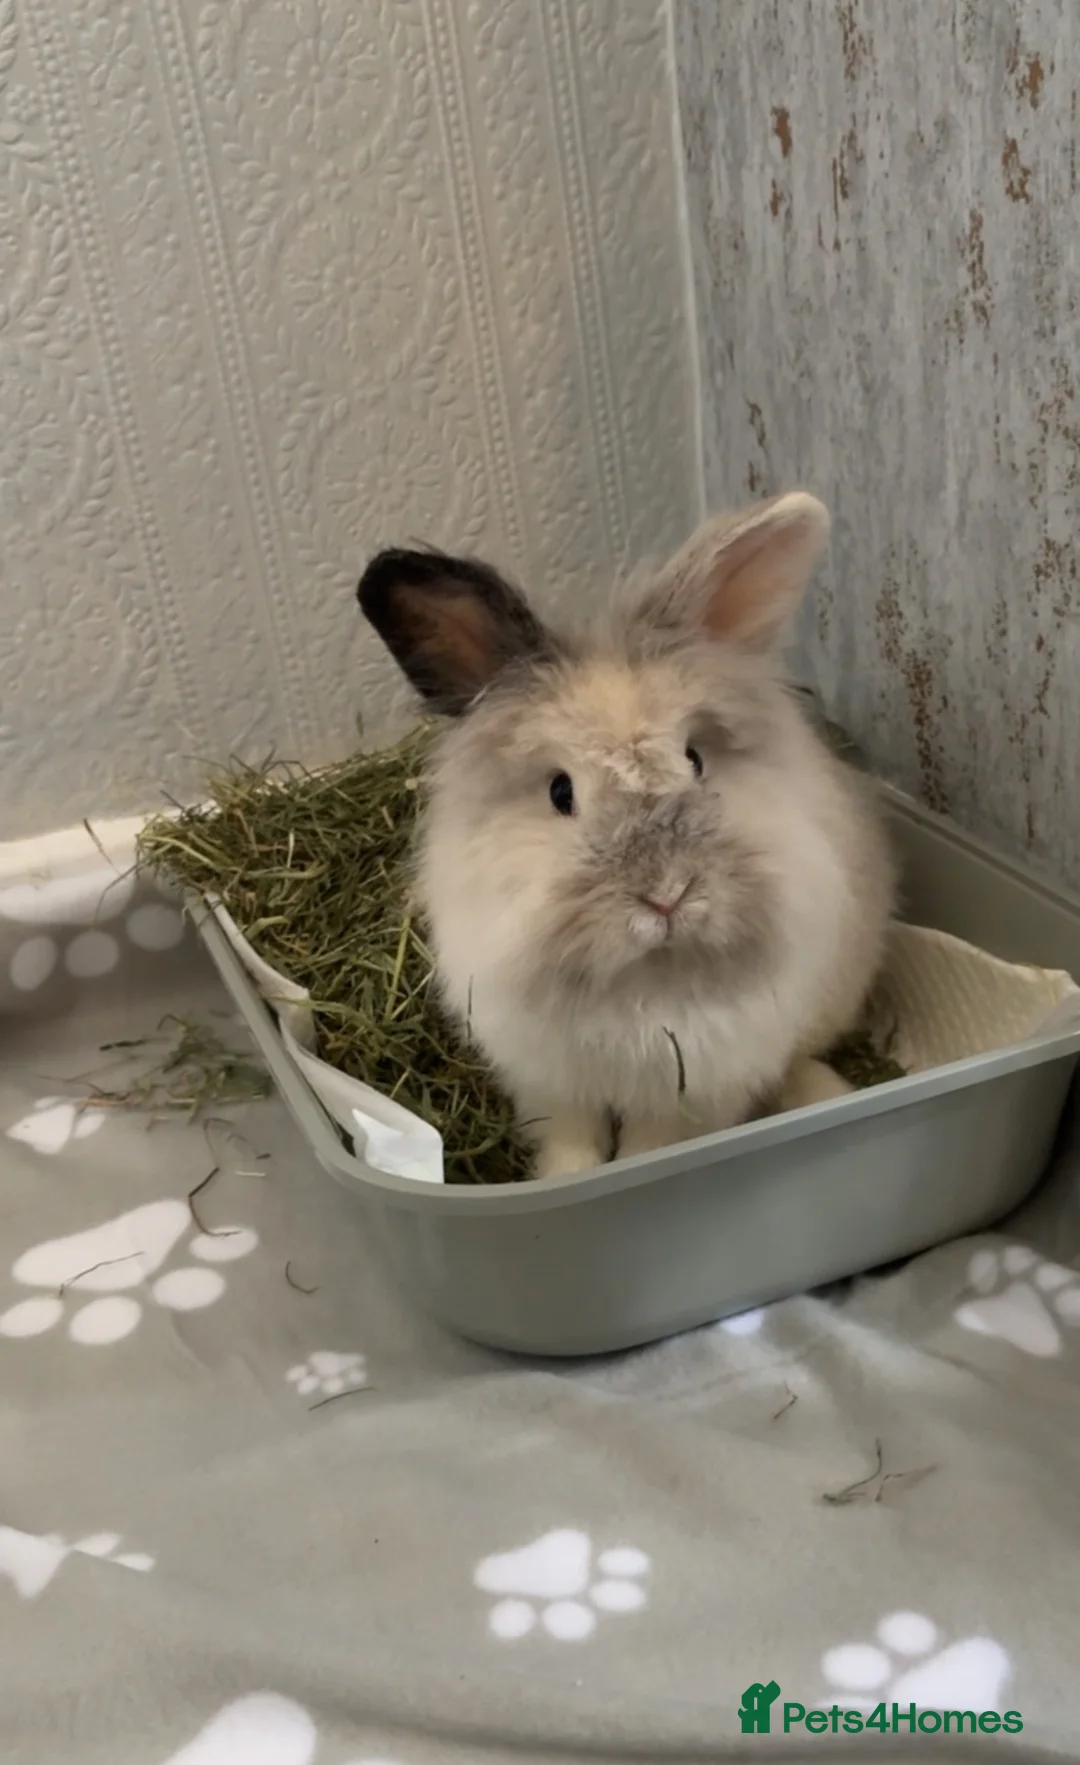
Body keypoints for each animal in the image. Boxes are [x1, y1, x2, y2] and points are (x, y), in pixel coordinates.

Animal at [357, 491, 898, 1181]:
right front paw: (564, 1184)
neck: (643, 981)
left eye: (695, 758)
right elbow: (572, 1145)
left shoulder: (689, 1093)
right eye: (561, 792)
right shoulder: (551, 1084)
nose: (667, 896)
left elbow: (648, 1151)